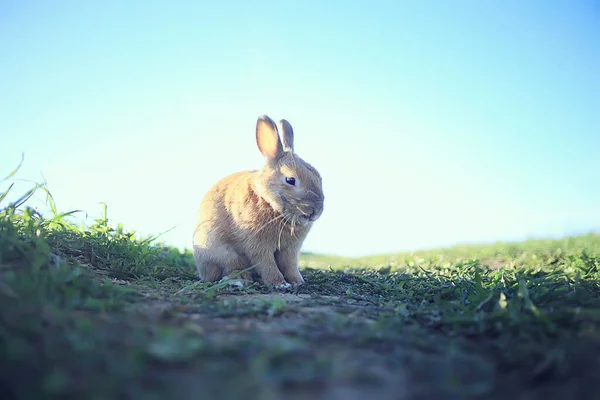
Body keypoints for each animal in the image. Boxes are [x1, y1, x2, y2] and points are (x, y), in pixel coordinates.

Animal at [192, 114, 324, 290]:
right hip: (220, 252)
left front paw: (297, 281)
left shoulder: (290, 250)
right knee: (228, 269)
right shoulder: (257, 245)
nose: (315, 211)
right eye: (290, 180)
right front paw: (279, 284)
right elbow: (266, 263)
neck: (272, 206)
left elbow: (290, 265)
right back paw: (239, 279)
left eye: (318, 177)